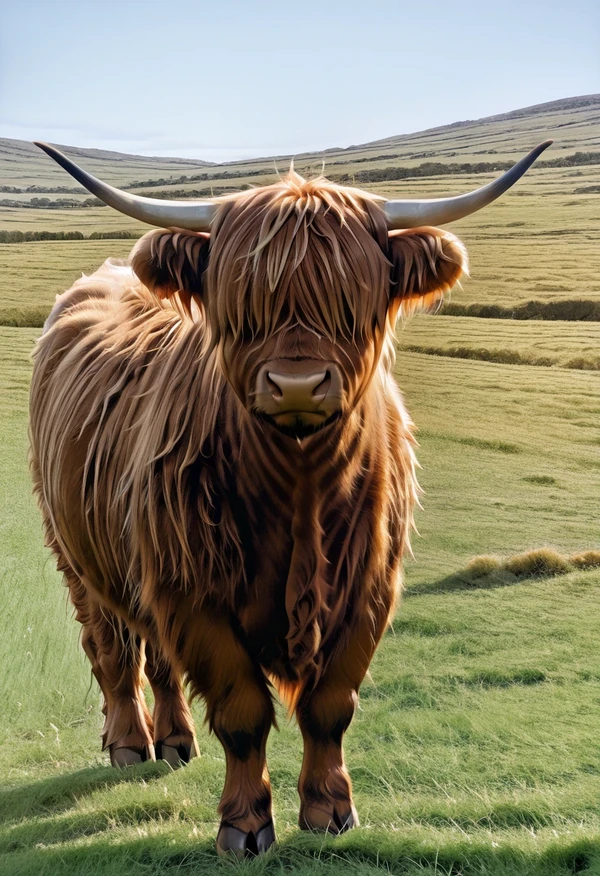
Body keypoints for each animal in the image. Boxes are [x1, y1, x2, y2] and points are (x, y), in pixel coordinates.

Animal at [29, 140, 550, 856]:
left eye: (351, 302)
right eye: (243, 307)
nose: (298, 385)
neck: (301, 492)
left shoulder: (367, 588)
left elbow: (330, 707)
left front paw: (330, 812)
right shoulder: (197, 596)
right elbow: (242, 711)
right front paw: (245, 825)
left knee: (157, 659)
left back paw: (175, 741)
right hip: (78, 555)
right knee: (113, 650)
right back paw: (131, 745)